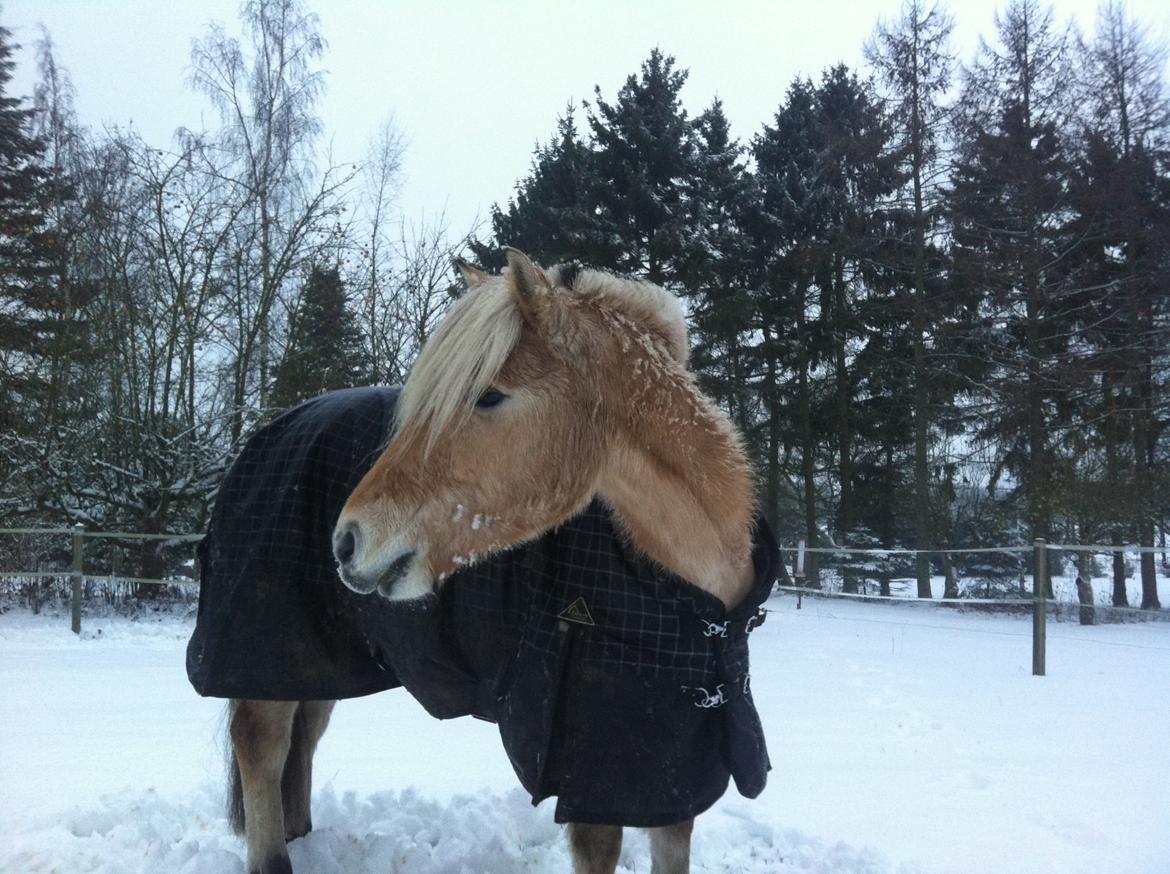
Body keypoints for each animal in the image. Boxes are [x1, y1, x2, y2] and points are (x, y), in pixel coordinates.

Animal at [218, 249, 775, 874]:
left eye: (488, 395)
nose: (346, 542)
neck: (691, 607)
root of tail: (268, 433)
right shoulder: (592, 789)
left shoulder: (675, 777)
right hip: (265, 651)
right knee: (262, 746)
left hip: (319, 659)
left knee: (304, 736)